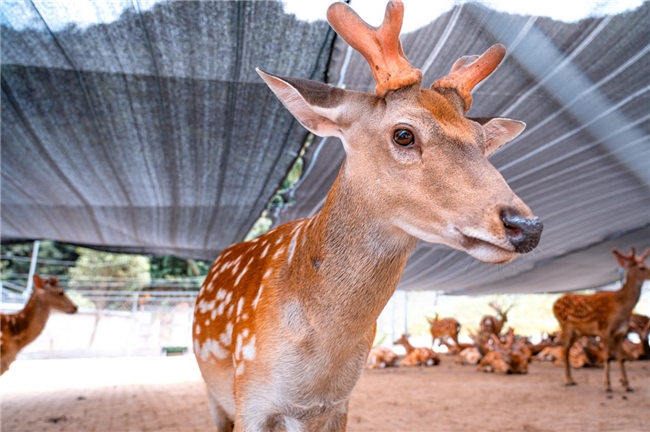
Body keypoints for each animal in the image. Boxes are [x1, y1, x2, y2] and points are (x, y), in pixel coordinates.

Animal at [190, 1, 540, 430]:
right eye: (404, 134)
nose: (526, 225)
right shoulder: (251, 398)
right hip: (214, 393)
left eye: (482, 144)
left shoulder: (338, 404)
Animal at [552, 246, 648, 392]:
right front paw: (607, 386)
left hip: (577, 331)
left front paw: (627, 386)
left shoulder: (620, 333)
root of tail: (554, 304)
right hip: (565, 326)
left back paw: (572, 380)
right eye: (642, 268)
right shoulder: (605, 329)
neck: (620, 308)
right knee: (564, 350)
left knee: (566, 350)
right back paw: (567, 381)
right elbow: (607, 357)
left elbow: (621, 358)